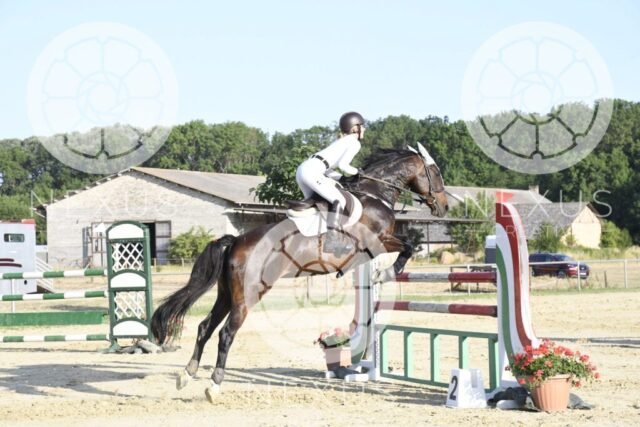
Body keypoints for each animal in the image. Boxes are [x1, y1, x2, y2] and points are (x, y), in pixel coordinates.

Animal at [150, 145, 448, 401]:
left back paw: (186, 375)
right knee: (225, 333)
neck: (375, 193)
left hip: (226, 294)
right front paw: (389, 271)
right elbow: (408, 246)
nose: (444, 207)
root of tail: (234, 242)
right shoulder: (379, 240)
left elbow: (406, 246)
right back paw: (214, 385)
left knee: (205, 327)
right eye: (435, 173)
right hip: (247, 296)